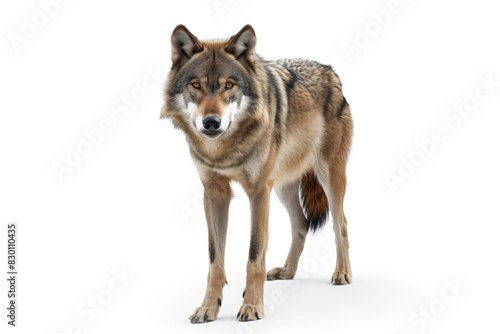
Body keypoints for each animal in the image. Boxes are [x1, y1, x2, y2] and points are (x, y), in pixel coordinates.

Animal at [160, 24, 352, 322]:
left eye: (229, 84)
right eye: (196, 85)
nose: (211, 122)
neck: (225, 150)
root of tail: (329, 72)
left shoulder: (259, 190)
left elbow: (254, 253)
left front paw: (251, 306)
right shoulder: (214, 192)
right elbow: (215, 258)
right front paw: (208, 307)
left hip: (328, 176)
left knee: (340, 223)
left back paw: (342, 273)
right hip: (283, 186)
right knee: (301, 224)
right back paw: (287, 271)